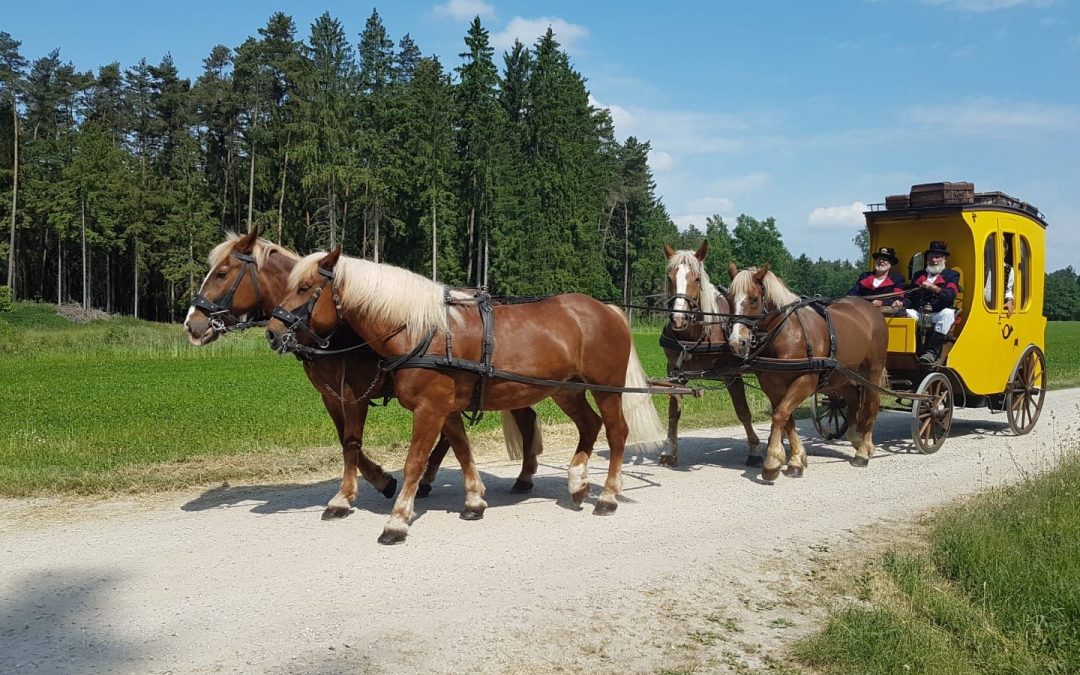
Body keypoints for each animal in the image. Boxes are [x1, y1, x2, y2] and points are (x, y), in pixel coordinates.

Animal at [182, 228, 548, 518]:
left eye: (222, 273)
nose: (191, 324)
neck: (339, 329)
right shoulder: (331, 396)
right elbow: (346, 441)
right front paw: (382, 480)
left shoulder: (354, 393)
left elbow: (351, 441)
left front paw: (348, 497)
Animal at [265, 246, 660, 542]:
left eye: (305, 287)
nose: (272, 332)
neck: (423, 330)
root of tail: (607, 309)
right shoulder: (446, 408)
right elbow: (461, 449)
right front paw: (474, 501)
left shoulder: (428, 408)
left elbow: (414, 462)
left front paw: (397, 520)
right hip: (566, 390)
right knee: (589, 425)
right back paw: (577, 483)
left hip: (606, 388)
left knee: (616, 432)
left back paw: (607, 496)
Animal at [660, 241, 764, 468]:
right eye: (669, 277)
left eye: (697, 279)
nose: (678, 319)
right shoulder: (674, 372)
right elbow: (673, 413)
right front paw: (669, 451)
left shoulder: (732, 374)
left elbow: (743, 411)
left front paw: (754, 450)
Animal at [725, 263, 885, 479]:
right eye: (729, 298)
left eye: (754, 299)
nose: (736, 342)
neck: (787, 334)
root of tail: (871, 309)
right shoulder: (771, 384)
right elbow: (786, 417)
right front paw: (796, 459)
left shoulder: (804, 381)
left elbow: (780, 414)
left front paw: (773, 462)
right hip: (839, 376)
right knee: (853, 398)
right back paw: (855, 438)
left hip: (872, 371)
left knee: (871, 404)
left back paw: (863, 451)